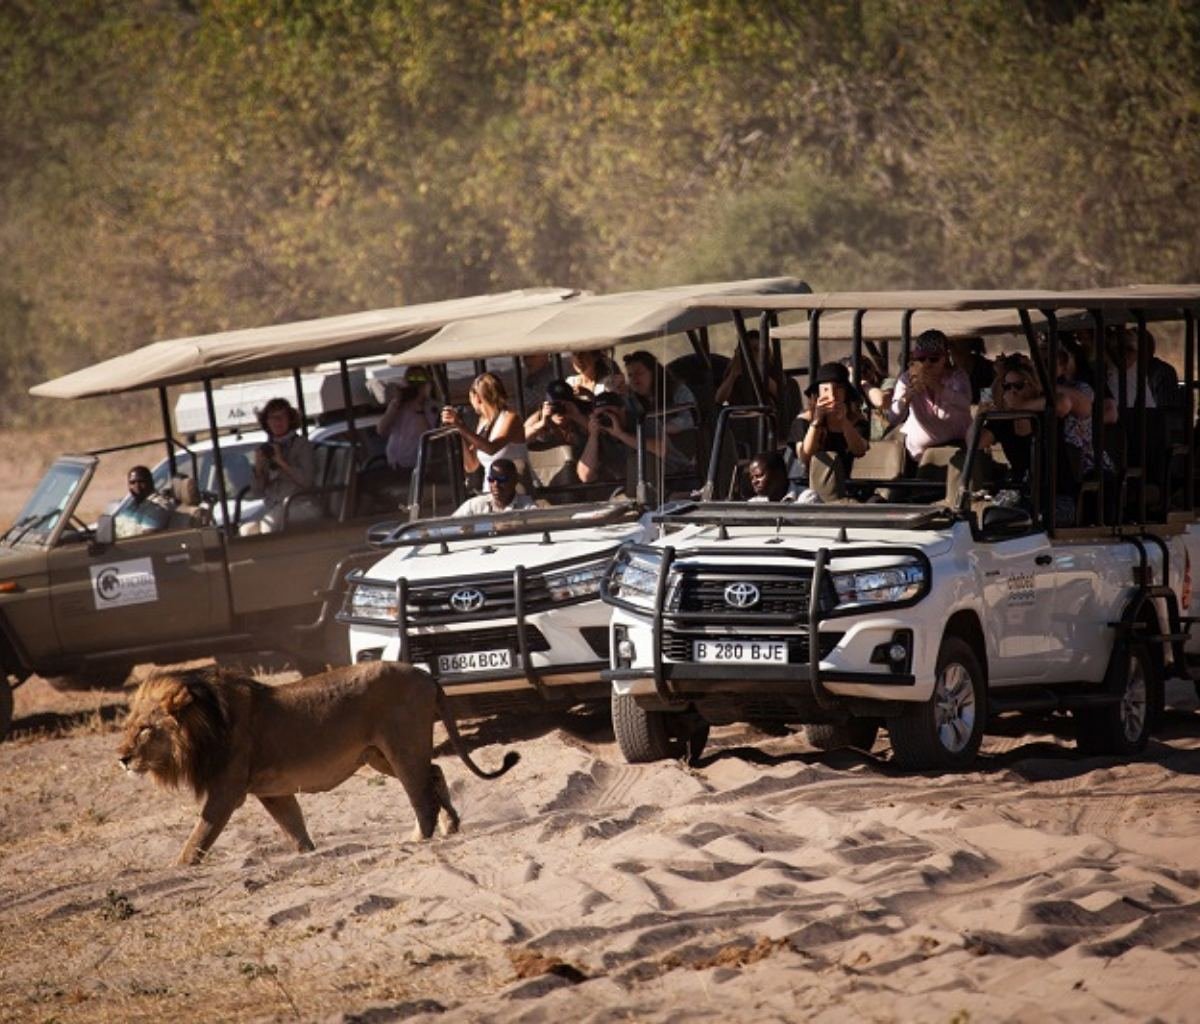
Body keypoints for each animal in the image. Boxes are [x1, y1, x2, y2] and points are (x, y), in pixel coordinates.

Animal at [116, 661, 518, 865]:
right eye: (127, 726)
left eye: (145, 730)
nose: (121, 758)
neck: (205, 724)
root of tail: (426, 674)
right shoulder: (272, 792)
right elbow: (294, 827)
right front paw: (308, 855)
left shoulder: (226, 792)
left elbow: (198, 838)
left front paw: (176, 872)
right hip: (379, 755)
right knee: (434, 773)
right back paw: (452, 825)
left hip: (401, 747)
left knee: (420, 792)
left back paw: (421, 836)